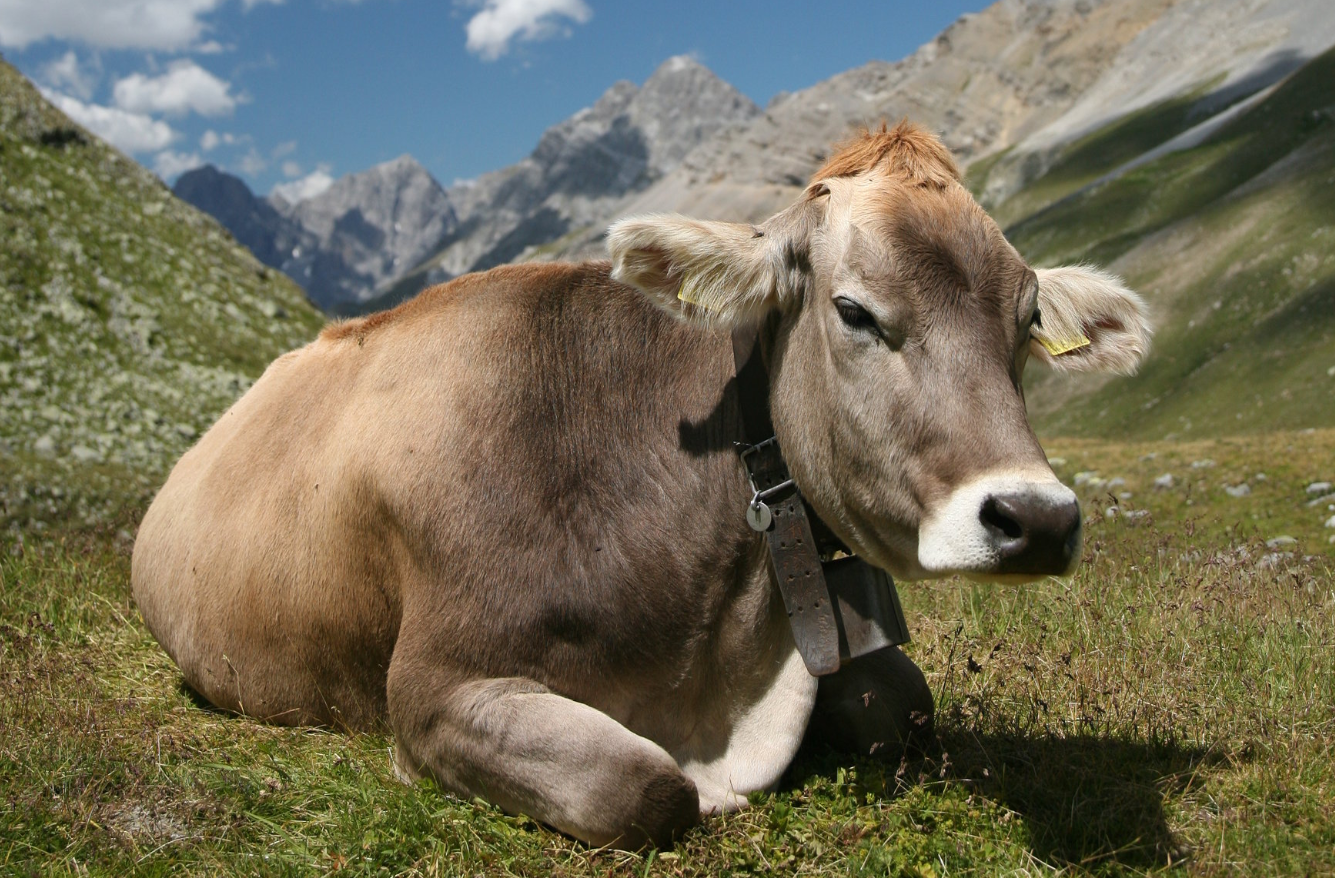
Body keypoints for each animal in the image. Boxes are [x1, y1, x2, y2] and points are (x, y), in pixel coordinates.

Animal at [132, 121, 1148, 848]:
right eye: (854, 311)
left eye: (1026, 322)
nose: (1035, 519)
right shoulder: (435, 689)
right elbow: (644, 787)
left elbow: (906, 706)